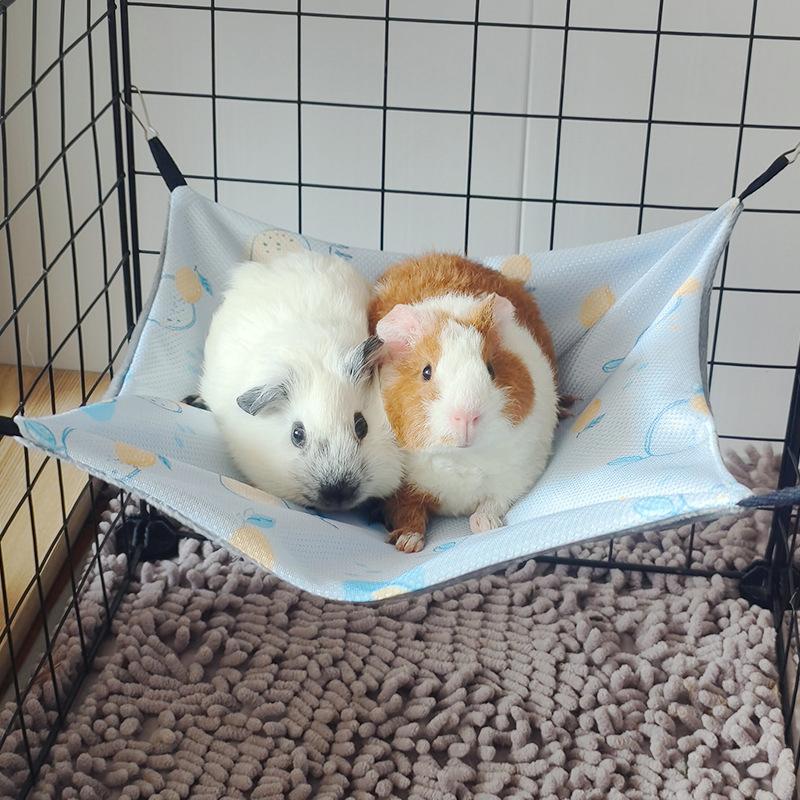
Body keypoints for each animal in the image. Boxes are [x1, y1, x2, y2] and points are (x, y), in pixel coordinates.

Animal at [369, 253, 558, 552]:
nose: (467, 416)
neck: (460, 458)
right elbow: (409, 512)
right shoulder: (400, 489)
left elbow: (493, 502)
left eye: (491, 369)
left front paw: (486, 527)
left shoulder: (518, 474)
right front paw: (407, 544)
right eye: (426, 372)